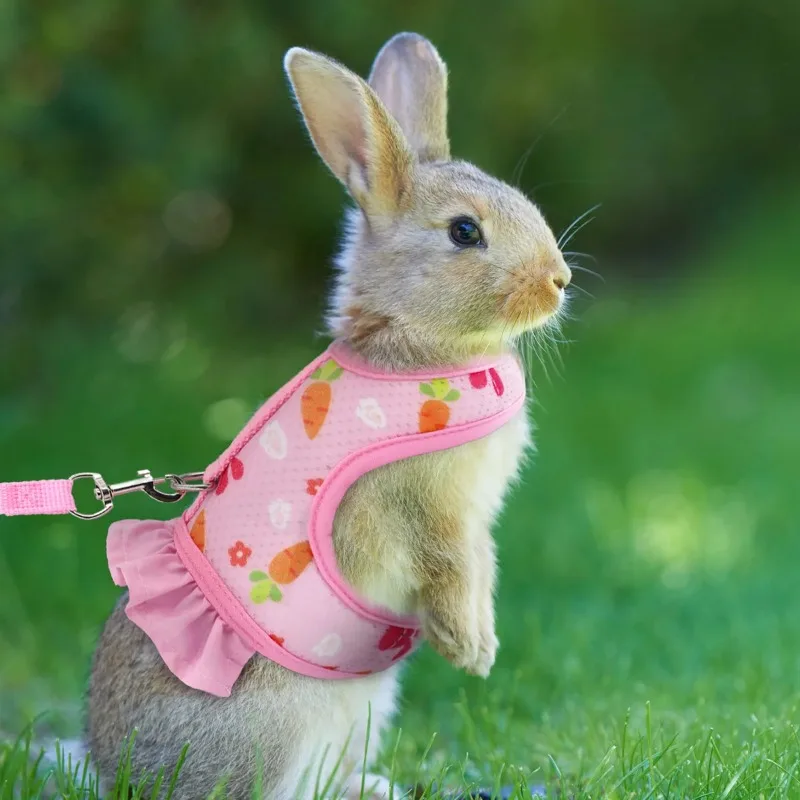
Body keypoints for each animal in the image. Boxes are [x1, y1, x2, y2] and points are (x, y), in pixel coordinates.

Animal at [85, 32, 572, 800]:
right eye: (465, 232)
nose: (559, 281)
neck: (413, 341)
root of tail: (120, 776)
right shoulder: (426, 508)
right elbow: (451, 567)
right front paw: (472, 651)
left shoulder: (473, 519)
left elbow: (481, 565)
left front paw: (479, 645)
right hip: (274, 730)